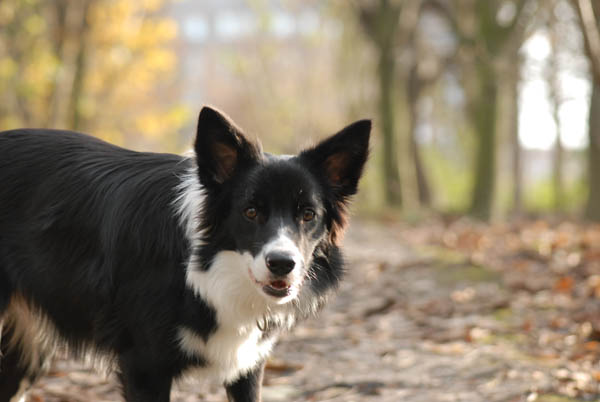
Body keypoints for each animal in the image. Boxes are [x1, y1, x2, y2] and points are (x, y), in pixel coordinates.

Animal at [0, 107, 370, 402]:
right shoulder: (144, 366)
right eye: (250, 212)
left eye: (308, 214)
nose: (282, 264)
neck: (199, 268)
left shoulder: (248, 366)